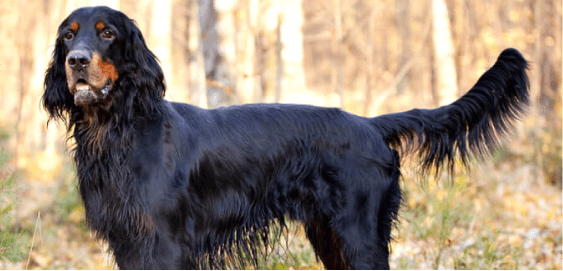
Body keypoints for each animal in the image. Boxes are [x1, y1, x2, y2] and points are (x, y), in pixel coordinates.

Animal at [41, 5, 532, 270]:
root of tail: (370, 124)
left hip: (358, 232)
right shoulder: (128, 240)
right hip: (329, 234)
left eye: (107, 33)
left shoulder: (165, 241)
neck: (119, 130)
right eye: (68, 35)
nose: (77, 61)